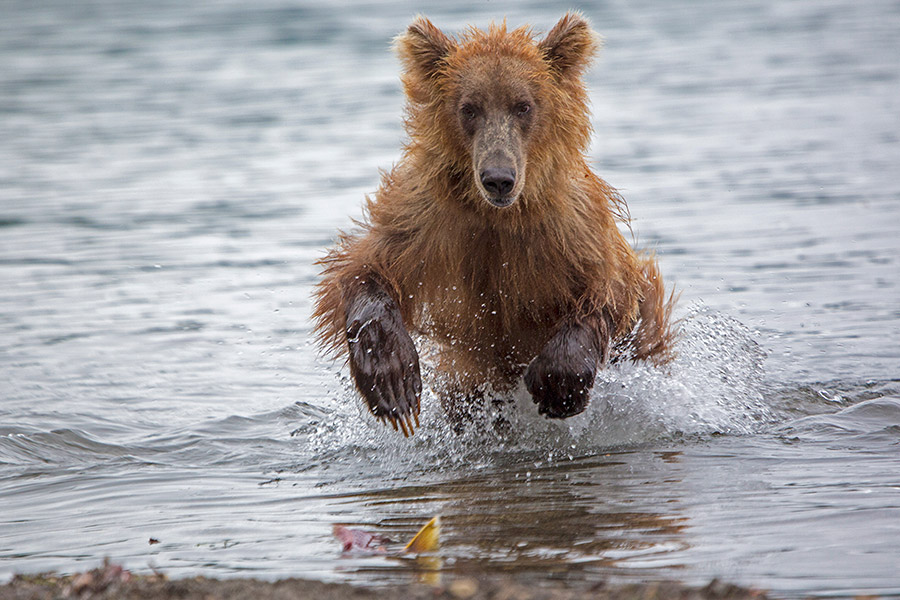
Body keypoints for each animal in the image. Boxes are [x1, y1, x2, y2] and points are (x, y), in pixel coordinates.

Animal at [312, 12, 672, 436]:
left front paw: (558, 382)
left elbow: (608, 286)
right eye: (470, 108)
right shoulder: (424, 217)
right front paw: (392, 380)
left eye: (523, 106)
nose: (498, 178)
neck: (495, 214)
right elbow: (365, 268)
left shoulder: (571, 226)